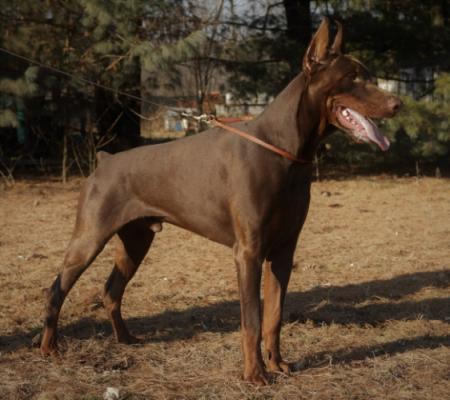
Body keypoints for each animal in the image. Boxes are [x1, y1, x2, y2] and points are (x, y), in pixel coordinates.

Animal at [40, 17, 402, 382]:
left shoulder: (283, 250)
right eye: (352, 77)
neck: (283, 149)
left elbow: (274, 316)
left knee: (111, 290)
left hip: (136, 240)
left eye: (369, 75)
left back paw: (125, 339)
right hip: (89, 238)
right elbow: (252, 320)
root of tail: (105, 160)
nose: (396, 104)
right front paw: (255, 374)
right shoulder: (249, 252)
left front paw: (277, 364)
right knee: (56, 290)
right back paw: (49, 348)